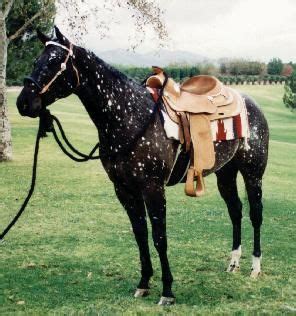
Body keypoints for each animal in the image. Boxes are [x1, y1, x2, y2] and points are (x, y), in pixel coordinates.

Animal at [17, 27, 270, 304]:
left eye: (54, 62)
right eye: (36, 61)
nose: (23, 103)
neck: (129, 116)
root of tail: (249, 102)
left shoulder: (152, 188)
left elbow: (159, 238)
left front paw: (167, 291)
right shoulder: (124, 189)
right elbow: (140, 234)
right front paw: (144, 283)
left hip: (253, 173)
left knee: (255, 214)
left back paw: (255, 267)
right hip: (226, 173)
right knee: (235, 210)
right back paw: (233, 263)